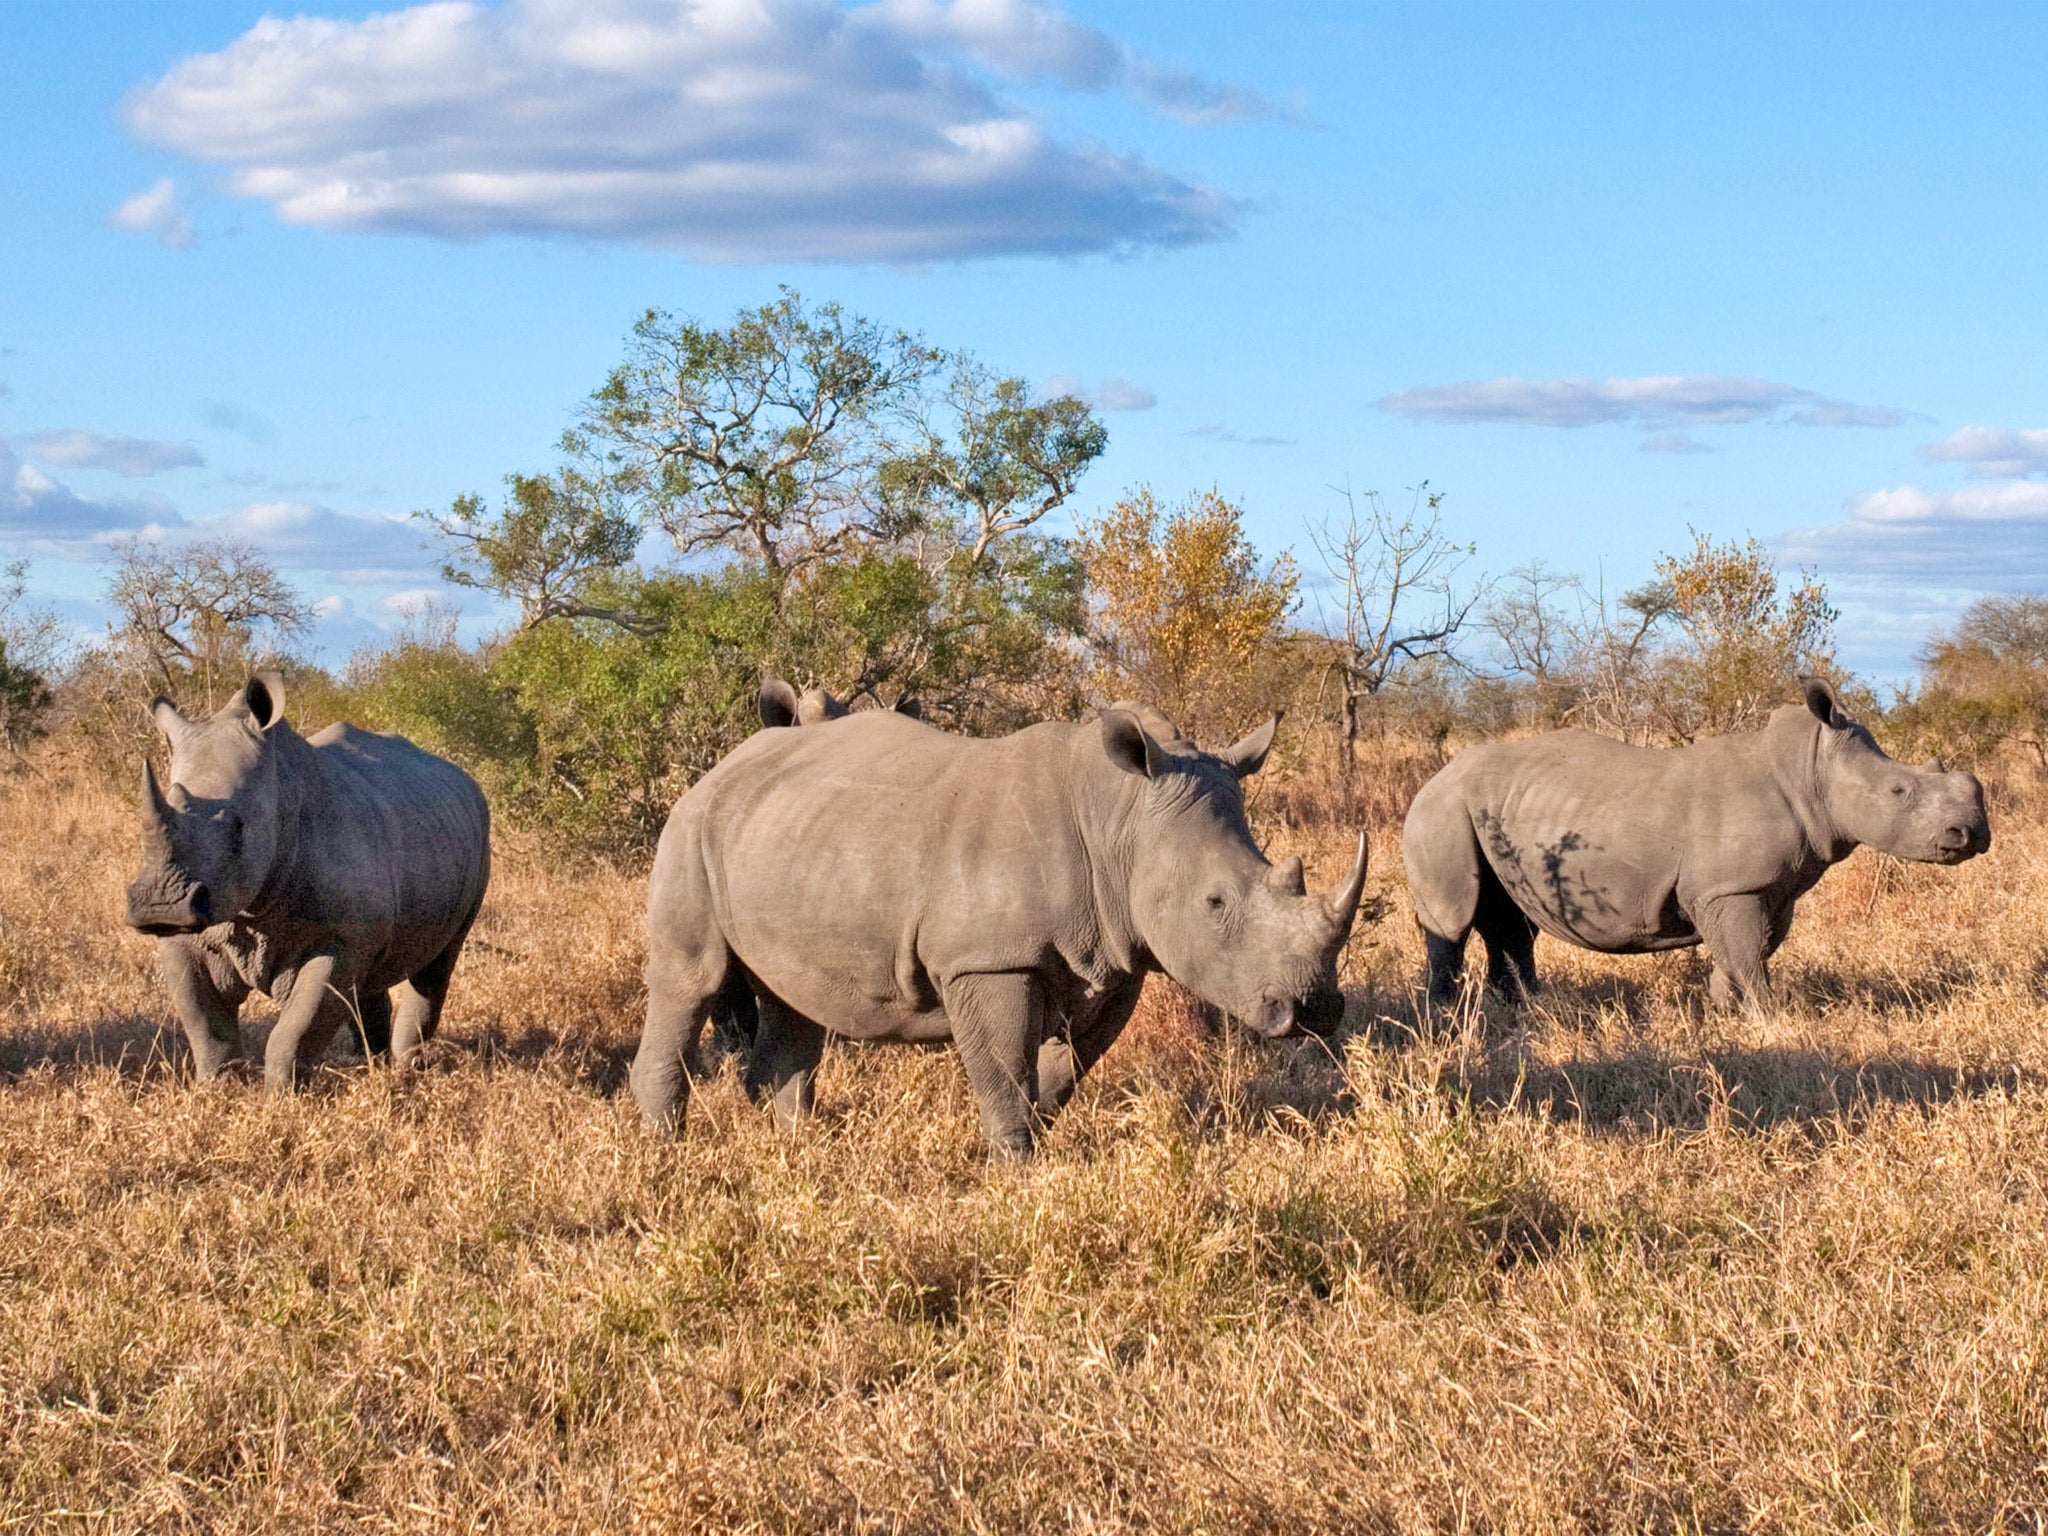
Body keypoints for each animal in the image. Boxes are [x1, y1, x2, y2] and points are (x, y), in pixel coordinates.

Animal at [124, 673, 492, 1091]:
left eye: (239, 827)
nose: (161, 908)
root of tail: (466, 781)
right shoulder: (194, 930)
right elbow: (204, 1023)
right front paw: (216, 1090)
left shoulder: (341, 939)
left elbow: (298, 1027)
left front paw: (281, 1096)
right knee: (371, 974)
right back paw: (371, 1062)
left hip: (478, 838)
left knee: (438, 964)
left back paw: (407, 1067)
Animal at [633, 701, 1369, 1156]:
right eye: (1214, 903)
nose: (1314, 1009)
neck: (1121, 820)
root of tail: (716, 770)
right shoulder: (987, 960)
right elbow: (1004, 1072)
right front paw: (1017, 1172)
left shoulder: (1116, 959)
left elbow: (1063, 1070)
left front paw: (1041, 1145)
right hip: (690, 831)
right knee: (691, 980)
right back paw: (665, 1153)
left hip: (786, 837)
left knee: (793, 1005)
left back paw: (796, 1149)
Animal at [1402, 677, 1991, 1009]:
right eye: (1899, 792)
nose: (1973, 835)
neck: (1811, 771)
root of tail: (1430, 780)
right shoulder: (1730, 886)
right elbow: (1749, 956)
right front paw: (1772, 1020)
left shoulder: (1764, 887)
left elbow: (1750, 950)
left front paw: (1725, 1010)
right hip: (1440, 814)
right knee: (1452, 920)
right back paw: (1446, 1019)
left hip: (1493, 812)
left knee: (1510, 922)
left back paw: (1527, 1013)